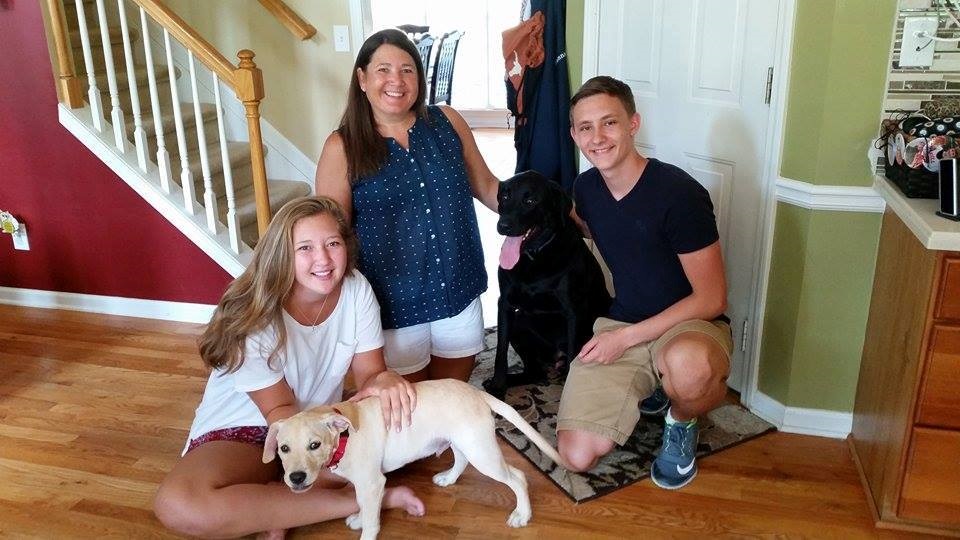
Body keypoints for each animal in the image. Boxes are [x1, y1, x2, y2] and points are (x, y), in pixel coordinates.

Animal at [262, 378, 571, 540]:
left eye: (314, 445)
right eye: (283, 449)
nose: (296, 478)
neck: (345, 435)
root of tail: (476, 392)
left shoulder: (372, 483)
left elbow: (373, 521)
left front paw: (365, 527)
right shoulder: (365, 486)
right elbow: (363, 506)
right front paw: (360, 518)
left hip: (483, 453)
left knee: (518, 478)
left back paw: (522, 515)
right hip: (463, 442)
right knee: (461, 461)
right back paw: (448, 478)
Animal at [483, 170, 612, 400]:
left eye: (531, 200)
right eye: (505, 196)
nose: (503, 226)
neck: (534, 257)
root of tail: (555, 357)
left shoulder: (573, 311)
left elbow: (572, 358)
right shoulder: (505, 304)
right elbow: (500, 351)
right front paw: (498, 386)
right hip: (519, 325)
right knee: (534, 372)